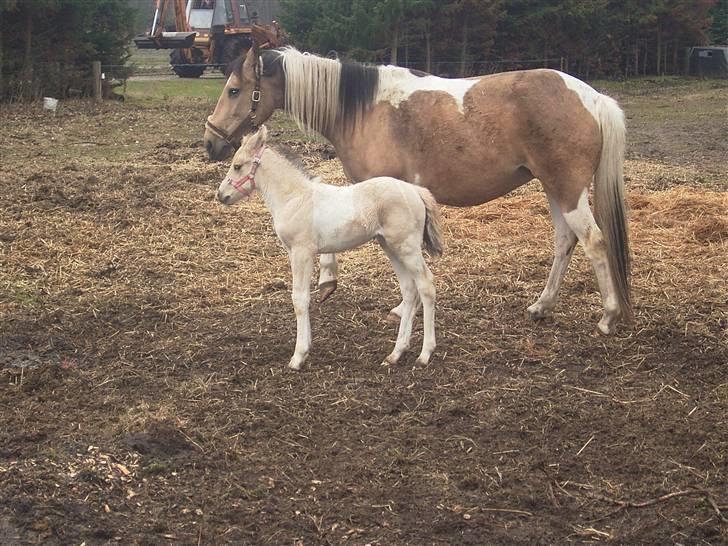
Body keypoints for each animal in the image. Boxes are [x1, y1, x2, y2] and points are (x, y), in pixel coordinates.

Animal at [203, 46, 632, 334]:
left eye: (235, 90)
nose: (211, 143)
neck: (363, 109)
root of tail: (593, 98)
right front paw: (330, 281)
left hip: (567, 187)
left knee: (594, 241)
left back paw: (607, 316)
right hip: (554, 187)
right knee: (565, 241)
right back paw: (542, 306)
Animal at [216, 125, 444, 370]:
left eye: (237, 165)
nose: (221, 195)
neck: (295, 198)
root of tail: (415, 190)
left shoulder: (302, 252)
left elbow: (299, 298)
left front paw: (298, 357)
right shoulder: (295, 253)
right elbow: (304, 297)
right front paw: (306, 348)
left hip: (407, 247)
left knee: (426, 285)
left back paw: (425, 354)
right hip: (391, 247)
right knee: (409, 289)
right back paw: (395, 353)